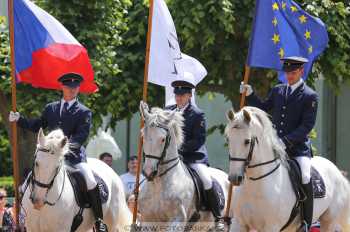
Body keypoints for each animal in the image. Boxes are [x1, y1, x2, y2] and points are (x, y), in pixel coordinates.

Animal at [138, 102, 234, 232]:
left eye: (163, 139)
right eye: (143, 137)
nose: (149, 172)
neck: (158, 184)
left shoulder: (177, 220)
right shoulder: (148, 221)